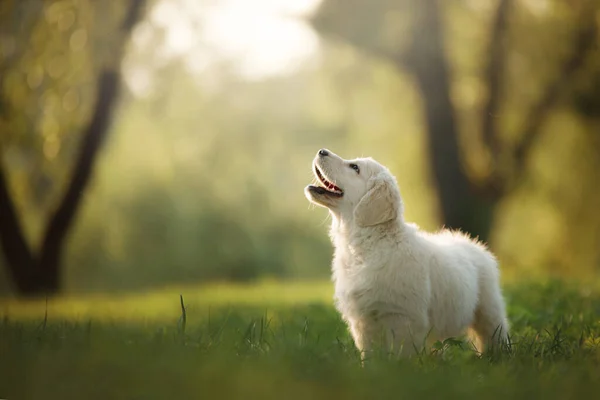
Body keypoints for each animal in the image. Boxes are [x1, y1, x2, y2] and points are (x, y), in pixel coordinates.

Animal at [308, 149, 508, 356]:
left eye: (354, 167)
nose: (322, 151)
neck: (368, 244)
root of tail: (471, 242)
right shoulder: (364, 321)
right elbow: (370, 353)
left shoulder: (402, 317)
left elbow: (401, 353)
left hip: (488, 306)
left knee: (493, 332)